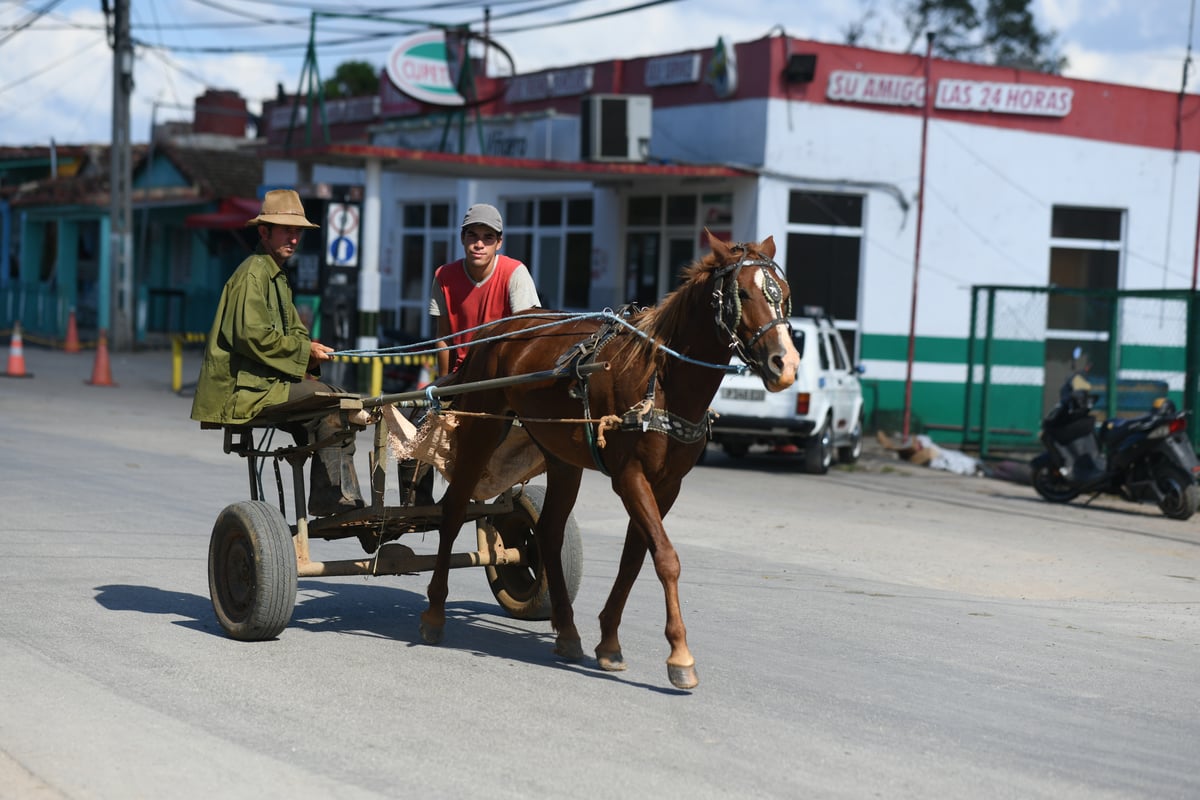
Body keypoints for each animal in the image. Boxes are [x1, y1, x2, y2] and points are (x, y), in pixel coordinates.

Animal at [420, 231, 796, 690]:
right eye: (741, 294)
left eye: (785, 295)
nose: (786, 364)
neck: (660, 379)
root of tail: (498, 330)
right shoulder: (629, 475)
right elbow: (666, 558)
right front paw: (680, 655)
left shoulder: (667, 484)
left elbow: (636, 557)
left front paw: (609, 642)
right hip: (481, 429)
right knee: (454, 510)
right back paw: (434, 613)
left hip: (560, 455)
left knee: (549, 531)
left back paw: (566, 630)